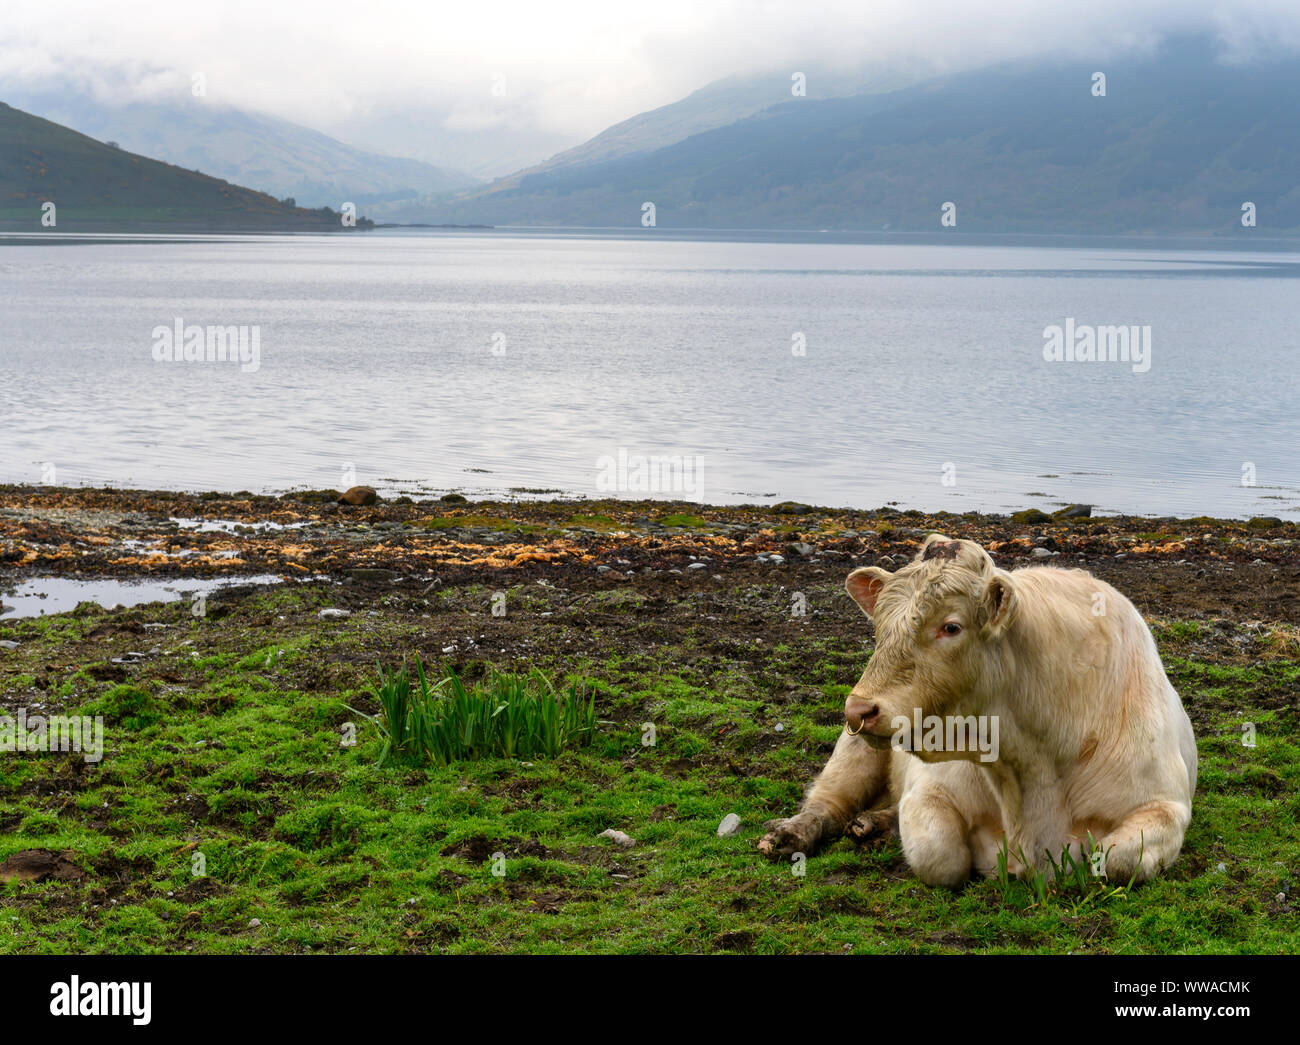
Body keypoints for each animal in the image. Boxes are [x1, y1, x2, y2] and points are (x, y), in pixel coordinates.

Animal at [757, 533, 1197, 887]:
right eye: (880, 626)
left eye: (951, 626)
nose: (858, 709)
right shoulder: (928, 790)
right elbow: (940, 857)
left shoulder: (1165, 805)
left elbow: (1117, 860)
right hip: (854, 751)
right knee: (826, 804)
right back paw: (789, 835)